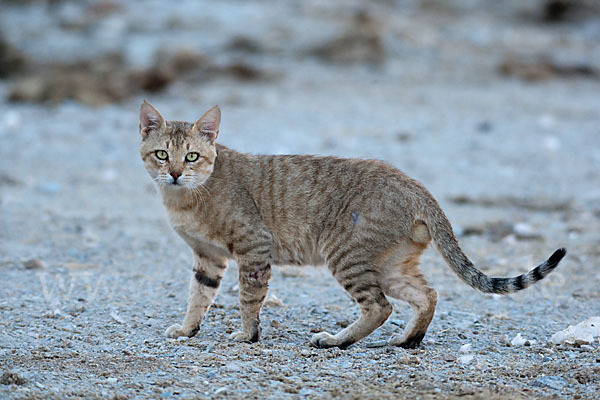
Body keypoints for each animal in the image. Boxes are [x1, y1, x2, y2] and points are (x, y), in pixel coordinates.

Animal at [139, 101, 568, 348]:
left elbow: (248, 296)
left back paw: (336, 341)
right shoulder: (208, 257)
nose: (174, 173)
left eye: (192, 156)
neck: (185, 199)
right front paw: (187, 330)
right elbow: (198, 296)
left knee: (380, 306)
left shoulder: (254, 246)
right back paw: (406, 341)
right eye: (161, 154)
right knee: (426, 295)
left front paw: (247, 335)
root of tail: (417, 187)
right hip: (389, 264)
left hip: (346, 253)